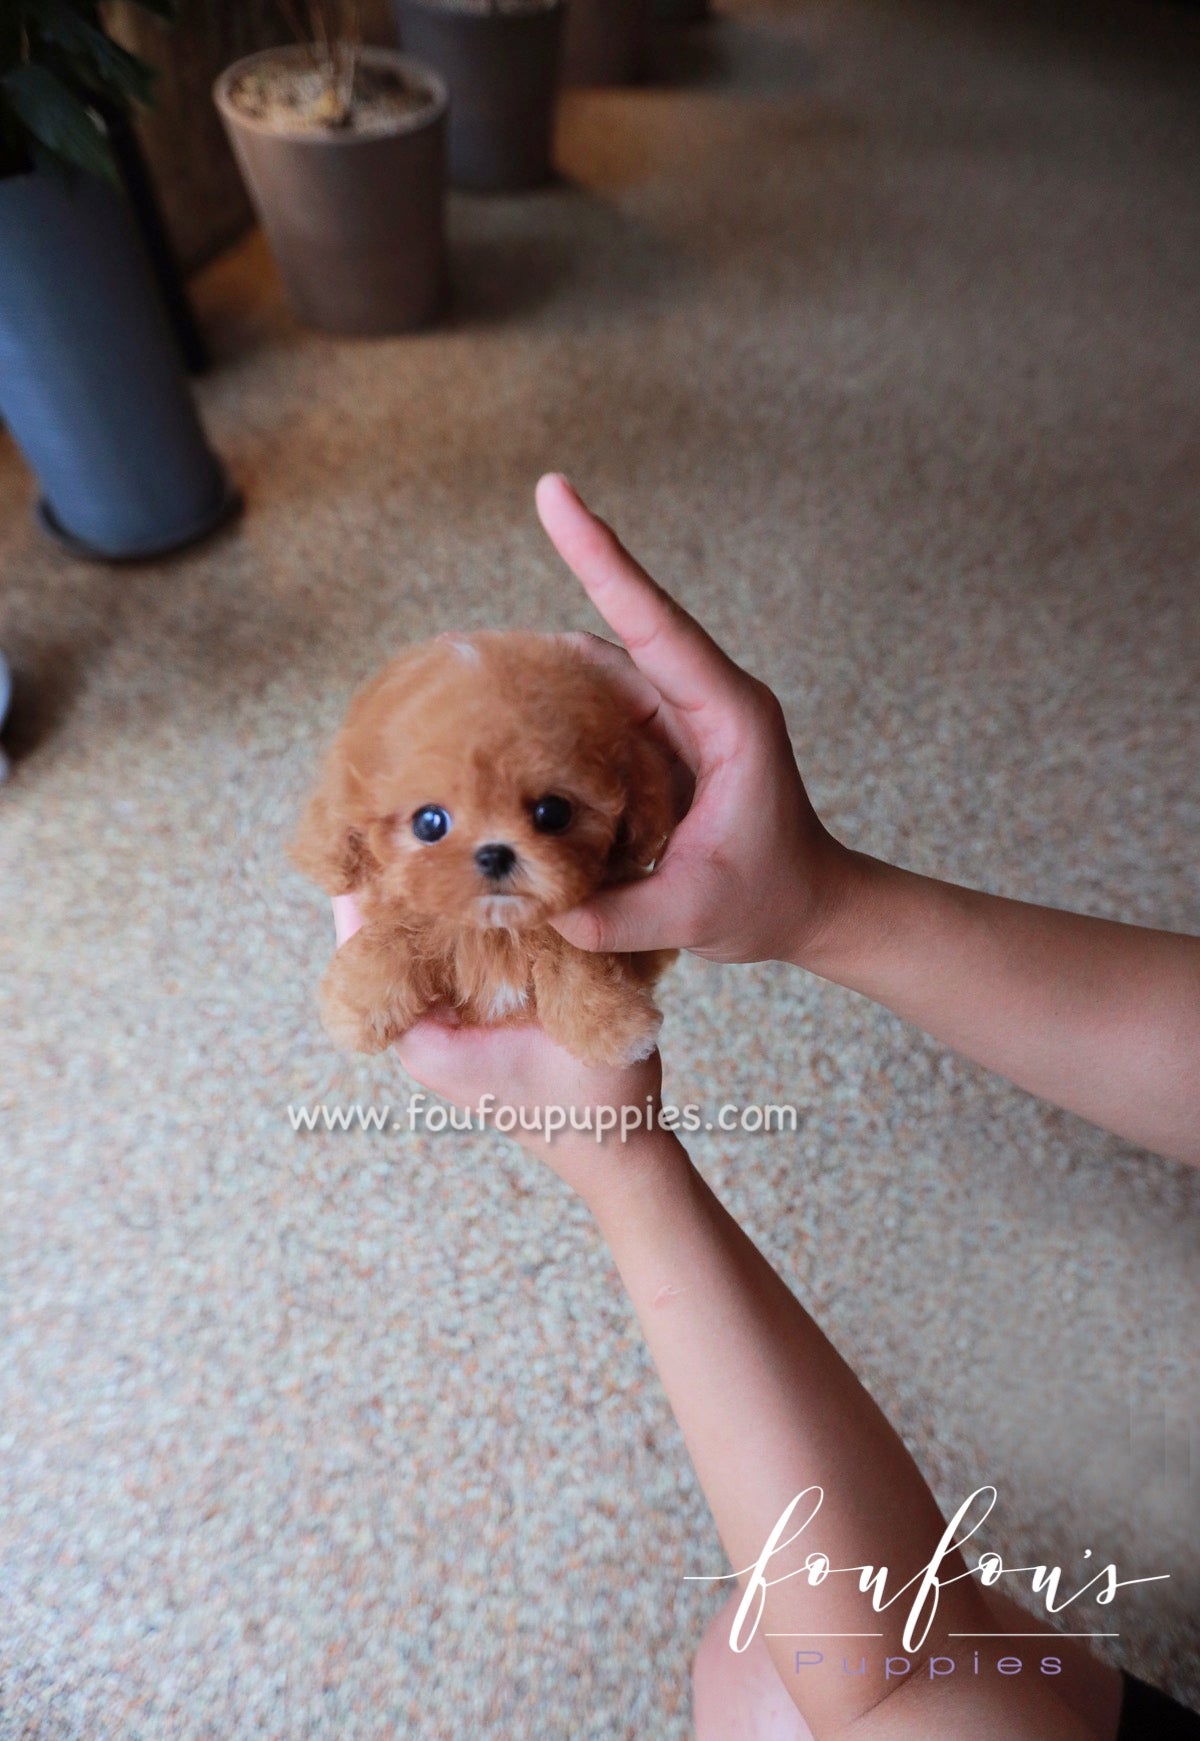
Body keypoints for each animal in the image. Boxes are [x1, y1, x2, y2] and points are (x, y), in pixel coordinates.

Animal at [289, 633, 675, 1065]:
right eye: (429, 823)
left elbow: (579, 958)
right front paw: (357, 1005)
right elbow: (393, 935)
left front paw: (613, 1024)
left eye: (553, 812)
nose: (494, 854)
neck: (495, 931)